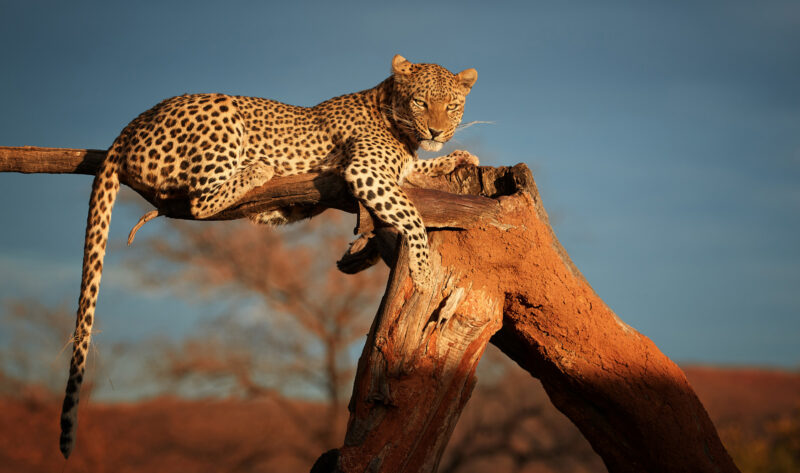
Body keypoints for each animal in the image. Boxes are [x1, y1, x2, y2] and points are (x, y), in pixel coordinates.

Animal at [58, 54, 478, 458]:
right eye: (421, 102)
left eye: (452, 106)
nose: (437, 132)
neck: (396, 118)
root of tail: (133, 123)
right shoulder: (365, 170)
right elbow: (412, 213)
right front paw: (423, 271)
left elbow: (418, 172)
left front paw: (456, 158)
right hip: (223, 115)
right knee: (199, 201)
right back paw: (258, 168)